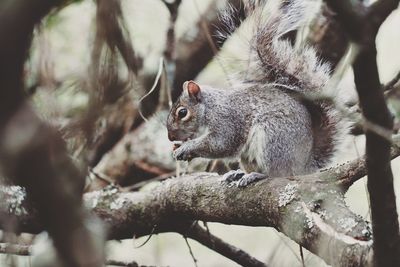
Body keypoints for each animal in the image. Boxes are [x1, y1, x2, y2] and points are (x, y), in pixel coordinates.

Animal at [166, 0, 344, 187]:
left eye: (182, 112)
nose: (171, 137)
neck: (210, 108)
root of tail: (304, 166)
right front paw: (178, 148)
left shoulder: (227, 120)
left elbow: (221, 144)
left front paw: (186, 147)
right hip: (249, 155)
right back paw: (238, 174)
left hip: (272, 138)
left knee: (278, 173)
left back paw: (258, 175)